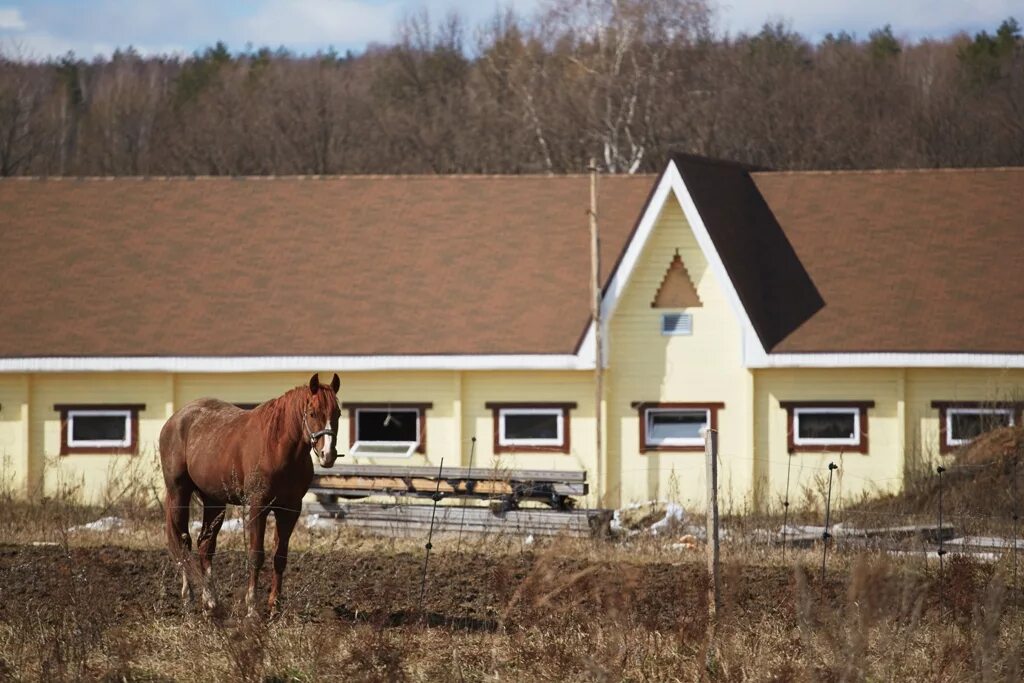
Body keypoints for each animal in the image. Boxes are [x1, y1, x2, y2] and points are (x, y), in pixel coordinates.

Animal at [156, 374, 339, 614]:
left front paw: (274, 606)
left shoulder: (290, 509)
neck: (277, 446)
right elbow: (255, 555)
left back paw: (211, 601)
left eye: (337, 413)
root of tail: (174, 420)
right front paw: (252, 607)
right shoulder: (257, 506)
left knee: (205, 545)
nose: (328, 454)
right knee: (183, 541)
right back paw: (189, 597)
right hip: (179, 494)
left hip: (214, 501)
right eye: (313, 413)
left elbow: (280, 556)